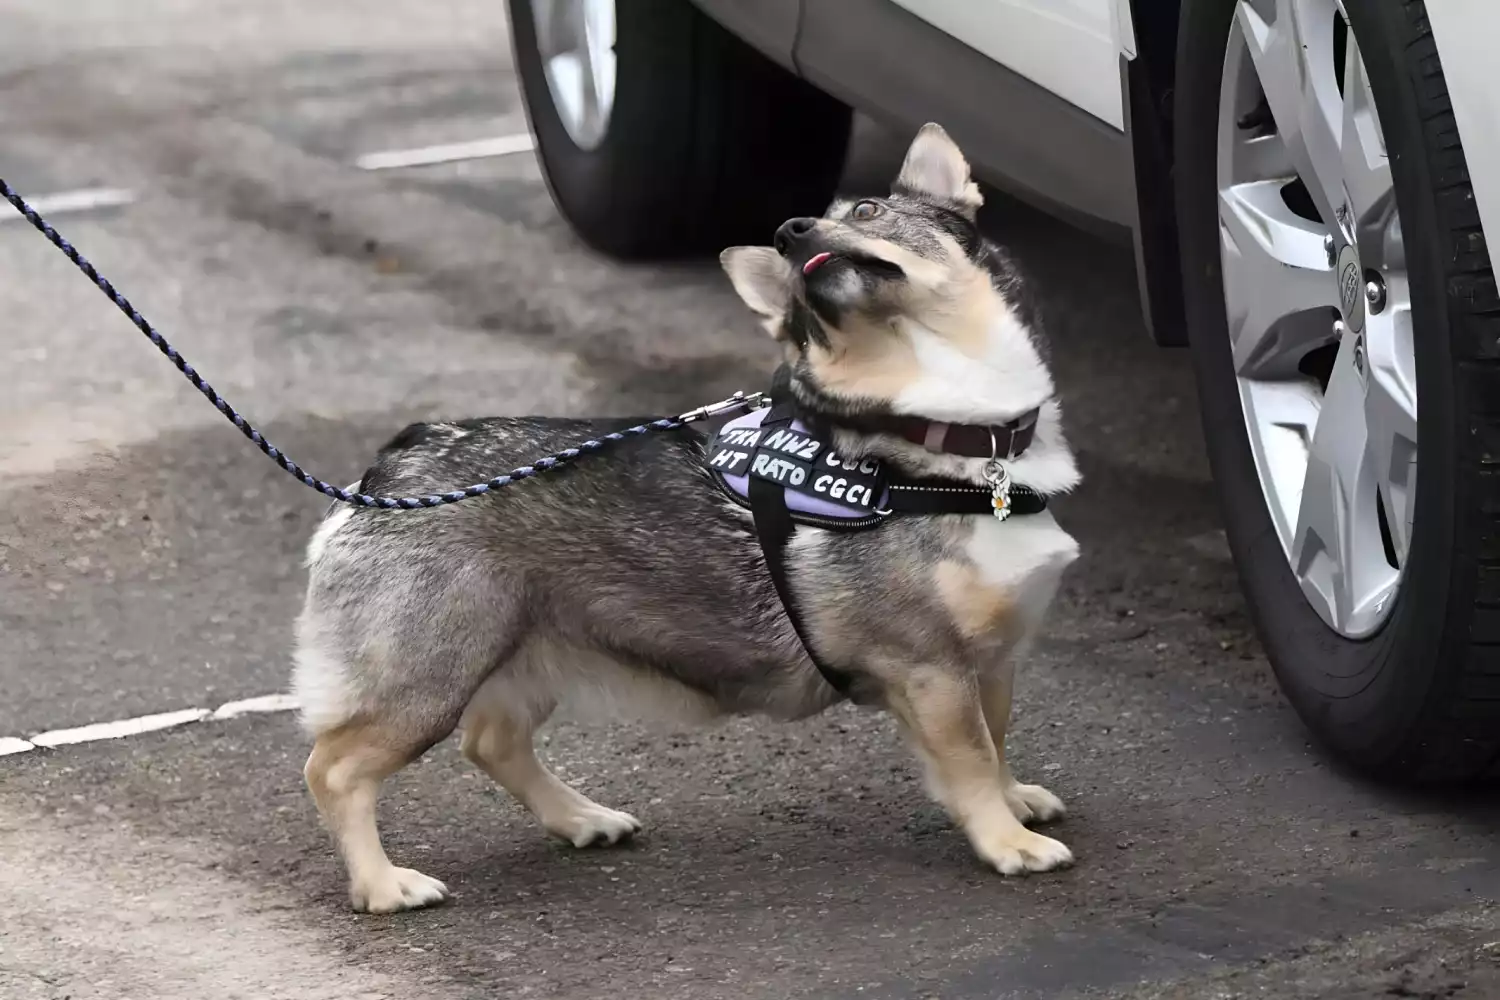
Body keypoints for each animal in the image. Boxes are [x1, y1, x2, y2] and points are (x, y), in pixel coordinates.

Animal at [289, 122, 1080, 917]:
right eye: (795, 296)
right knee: (335, 768)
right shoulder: (932, 669)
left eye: (867, 212)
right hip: (428, 674)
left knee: (492, 741)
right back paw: (383, 884)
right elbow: (971, 759)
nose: (789, 231)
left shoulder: (991, 660)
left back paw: (582, 818)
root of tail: (393, 468)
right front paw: (1007, 841)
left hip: (521, 651)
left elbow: (997, 740)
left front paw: (1015, 801)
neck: (947, 435)